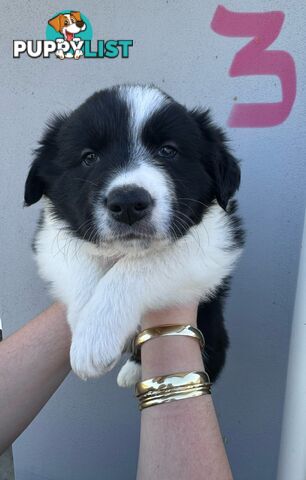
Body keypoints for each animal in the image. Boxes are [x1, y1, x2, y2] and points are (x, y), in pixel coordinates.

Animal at [23, 84, 244, 386]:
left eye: (168, 151)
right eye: (89, 157)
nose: (128, 203)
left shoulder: (216, 241)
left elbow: (138, 267)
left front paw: (95, 337)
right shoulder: (52, 235)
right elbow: (82, 263)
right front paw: (85, 326)